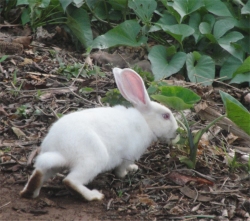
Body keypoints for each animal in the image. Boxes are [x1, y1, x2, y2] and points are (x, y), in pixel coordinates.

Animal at [20, 68, 179, 201]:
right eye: (166, 116)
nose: (177, 132)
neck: (146, 122)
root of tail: (59, 150)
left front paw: (133, 169)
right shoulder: (128, 156)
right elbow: (120, 169)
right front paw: (126, 174)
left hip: (53, 165)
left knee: (39, 173)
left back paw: (30, 192)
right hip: (94, 160)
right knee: (70, 181)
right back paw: (94, 196)